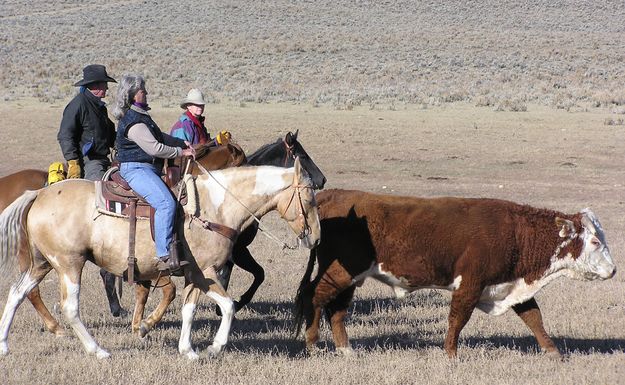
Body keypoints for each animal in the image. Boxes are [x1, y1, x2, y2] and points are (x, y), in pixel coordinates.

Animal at [0, 156, 320, 356]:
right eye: (308, 198)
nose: (315, 237)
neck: (217, 206)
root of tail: (38, 194)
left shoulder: (195, 275)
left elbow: (188, 309)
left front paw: (187, 351)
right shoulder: (207, 272)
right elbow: (229, 306)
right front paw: (214, 347)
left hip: (42, 263)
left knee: (17, 293)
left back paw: (4, 346)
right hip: (69, 264)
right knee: (69, 307)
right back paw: (98, 351)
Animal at [292, 189, 616, 356]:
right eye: (595, 241)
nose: (613, 270)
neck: (516, 233)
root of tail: (331, 196)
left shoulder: (511, 286)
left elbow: (534, 317)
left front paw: (554, 353)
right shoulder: (470, 285)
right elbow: (457, 320)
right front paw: (450, 354)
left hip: (350, 277)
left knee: (336, 309)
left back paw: (346, 350)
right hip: (341, 272)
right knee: (316, 297)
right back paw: (312, 344)